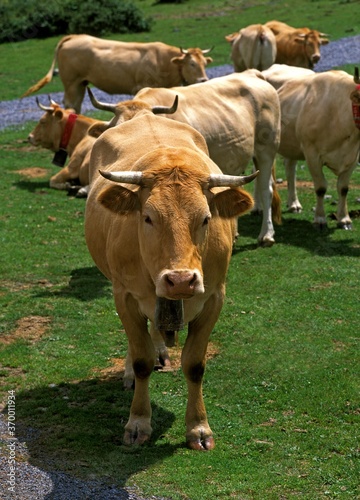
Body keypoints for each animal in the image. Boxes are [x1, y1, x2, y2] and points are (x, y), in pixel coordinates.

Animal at [21, 35, 214, 112]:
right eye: (192, 63)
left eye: (205, 63)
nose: (204, 80)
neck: (164, 61)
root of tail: (75, 36)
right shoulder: (142, 85)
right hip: (71, 83)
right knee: (70, 103)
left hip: (81, 83)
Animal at [86, 106, 258, 450]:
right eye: (148, 217)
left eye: (205, 218)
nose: (180, 280)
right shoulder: (124, 295)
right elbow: (141, 360)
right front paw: (138, 422)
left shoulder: (214, 297)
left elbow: (194, 365)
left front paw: (199, 428)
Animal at [262, 65, 360, 229]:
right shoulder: (312, 153)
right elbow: (321, 187)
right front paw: (320, 219)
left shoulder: (353, 157)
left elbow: (343, 188)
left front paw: (344, 219)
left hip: (292, 145)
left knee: (290, 169)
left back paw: (294, 204)